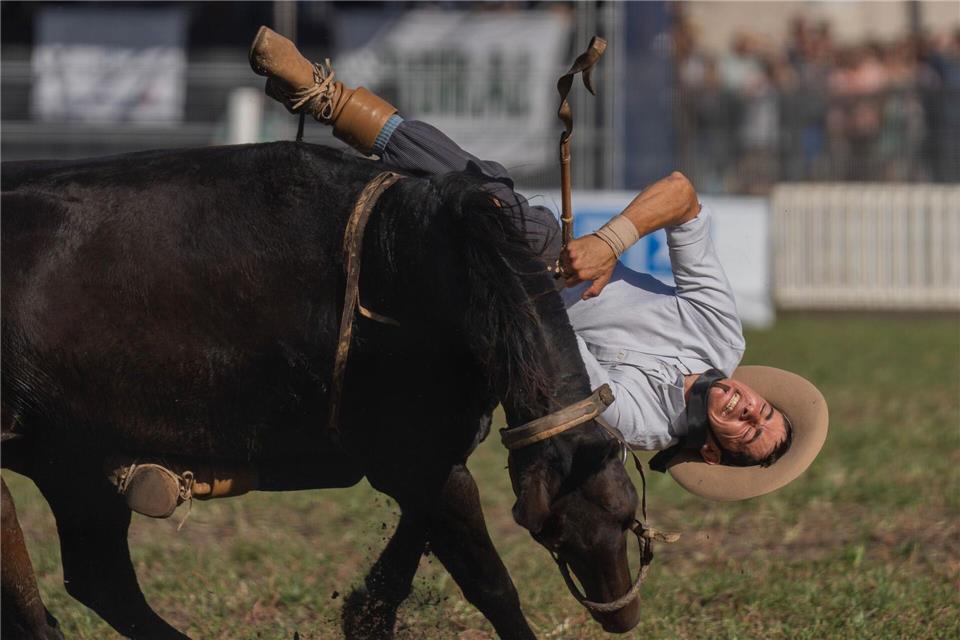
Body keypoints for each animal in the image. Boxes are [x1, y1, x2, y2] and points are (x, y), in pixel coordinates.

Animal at [1, 141, 643, 639]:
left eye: (625, 510)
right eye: (553, 531)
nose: (622, 613)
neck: (407, 258)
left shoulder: (431, 458)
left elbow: (406, 554)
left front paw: (367, 614)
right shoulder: (415, 460)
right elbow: (491, 584)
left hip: (72, 463)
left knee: (99, 580)